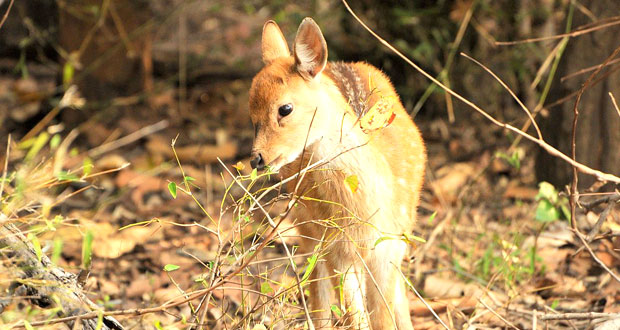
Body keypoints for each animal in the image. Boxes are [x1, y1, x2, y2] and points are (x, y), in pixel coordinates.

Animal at [247, 16, 426, 328]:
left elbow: (382, 317)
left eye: (285, 108)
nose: (257, 158)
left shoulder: (388, 247)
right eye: (250, 111)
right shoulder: (337, 249)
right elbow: (356, 317)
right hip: (307, 228)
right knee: (318, 297)